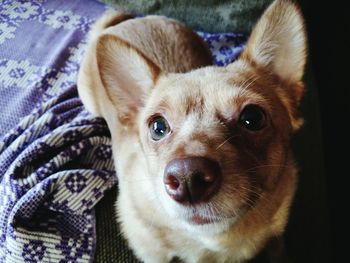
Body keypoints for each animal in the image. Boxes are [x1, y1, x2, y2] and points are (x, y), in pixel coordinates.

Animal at [78, 0, 306, 262]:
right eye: (158, 127)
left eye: (252, 118)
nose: (187, 177)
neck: (214, 244)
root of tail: (133, 20)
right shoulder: (153, 253)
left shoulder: (275, 232)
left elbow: (277, 246)